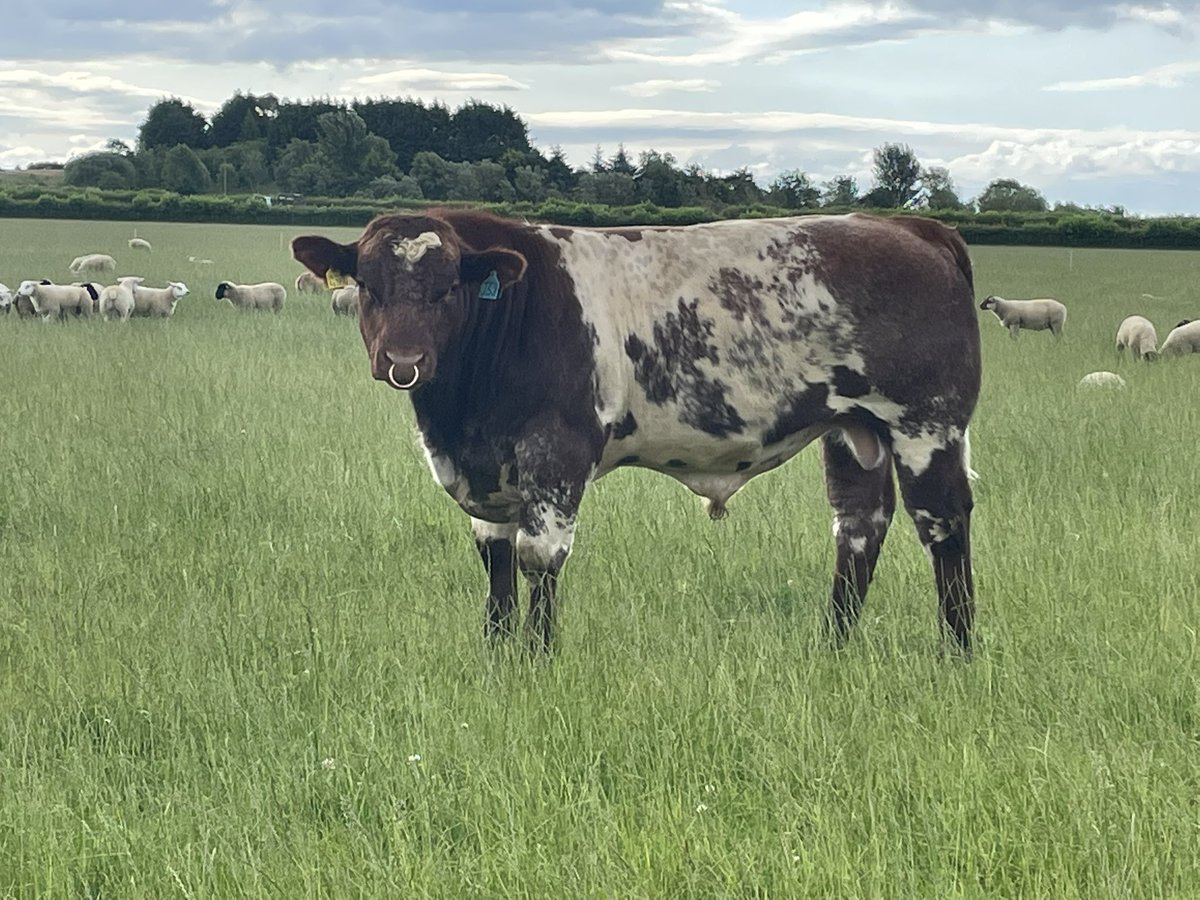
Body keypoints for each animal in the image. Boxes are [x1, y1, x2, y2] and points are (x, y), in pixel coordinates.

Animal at [293, 209, 982, 654]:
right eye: (369, 287)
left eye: (444, 290)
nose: (403, 361)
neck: (460, 416)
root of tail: (912, 226)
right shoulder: (485, 472)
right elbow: (495, 560)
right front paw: (496, 652)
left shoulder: (556, 454)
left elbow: (539, 556)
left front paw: (537, 659)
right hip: (852, 428)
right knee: (859, 525)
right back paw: (835, 644)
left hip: (926, 424)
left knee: (943, 523)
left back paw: (957, 649)